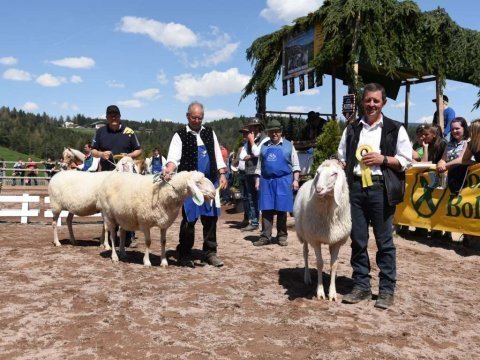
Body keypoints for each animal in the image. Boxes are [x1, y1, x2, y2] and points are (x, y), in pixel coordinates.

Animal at [294, 160, 350, 300]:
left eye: (334, 174)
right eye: (318, 173)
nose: (318, 189)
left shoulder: (337, 241)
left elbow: (334, 264)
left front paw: (333, 293)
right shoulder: (315, 240)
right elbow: (319, 263)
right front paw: (320, 292)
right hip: (304, 234)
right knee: (305, 253)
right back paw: (307, 278)